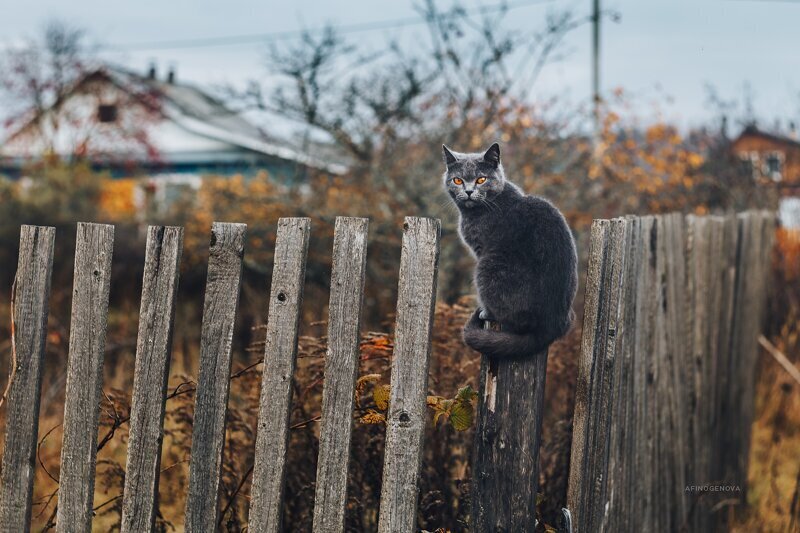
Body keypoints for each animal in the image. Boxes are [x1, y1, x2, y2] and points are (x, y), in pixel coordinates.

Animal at [444, 141, 576, 358]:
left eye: (481, 179)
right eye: (457, 180)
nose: (469, 191)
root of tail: (550, 328)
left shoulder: (481, 249)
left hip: (487, 267)